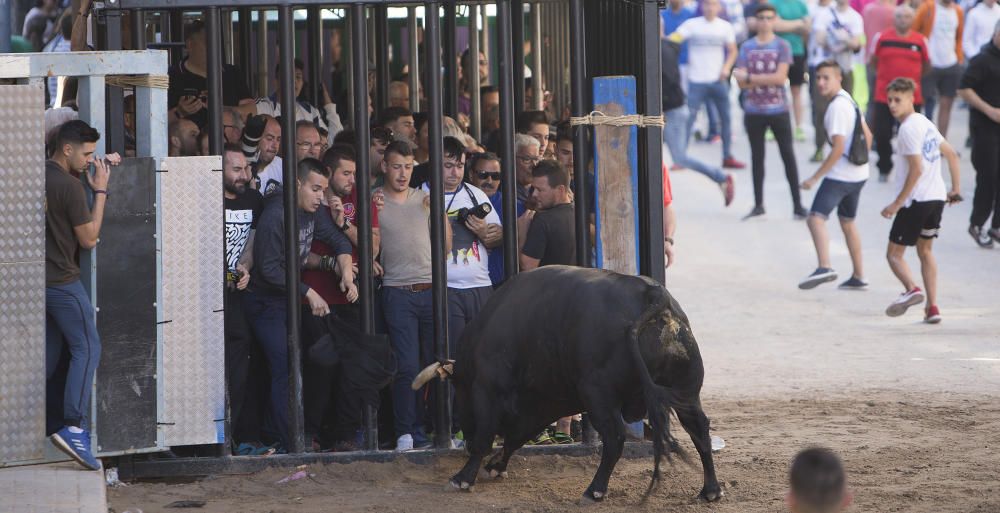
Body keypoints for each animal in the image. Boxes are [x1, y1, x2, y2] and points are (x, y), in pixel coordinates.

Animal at [416, 266, 728, 502]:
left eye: (459, 395)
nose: (464, 441)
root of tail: (655, 296)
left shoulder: (488, 388)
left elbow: (487, 436)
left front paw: (463, 477)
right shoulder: (547, 401)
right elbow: (517, 435)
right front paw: (496, 466)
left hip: (598, 393)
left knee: (615, 436)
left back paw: (594, 491)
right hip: (686, 392)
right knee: (700, 429)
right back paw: (710, 490)